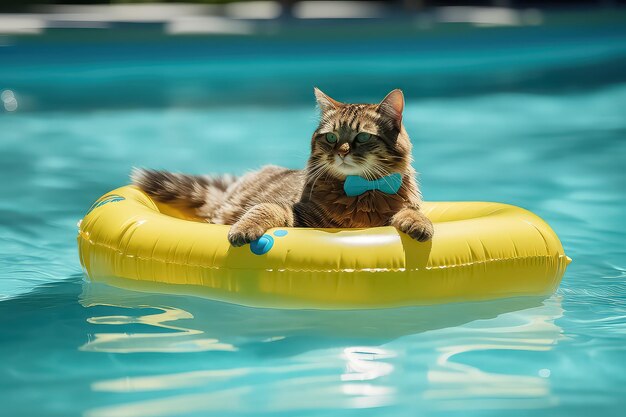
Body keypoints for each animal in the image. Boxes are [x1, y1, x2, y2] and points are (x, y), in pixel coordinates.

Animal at [130, 87, 434, 244]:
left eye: (361, 137)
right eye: (331, 137)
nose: (341, 152)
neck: (359, 192)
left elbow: (410, 212)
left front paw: (419, 223)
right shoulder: (295, 213)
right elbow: (265, 210)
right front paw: (243, 230)